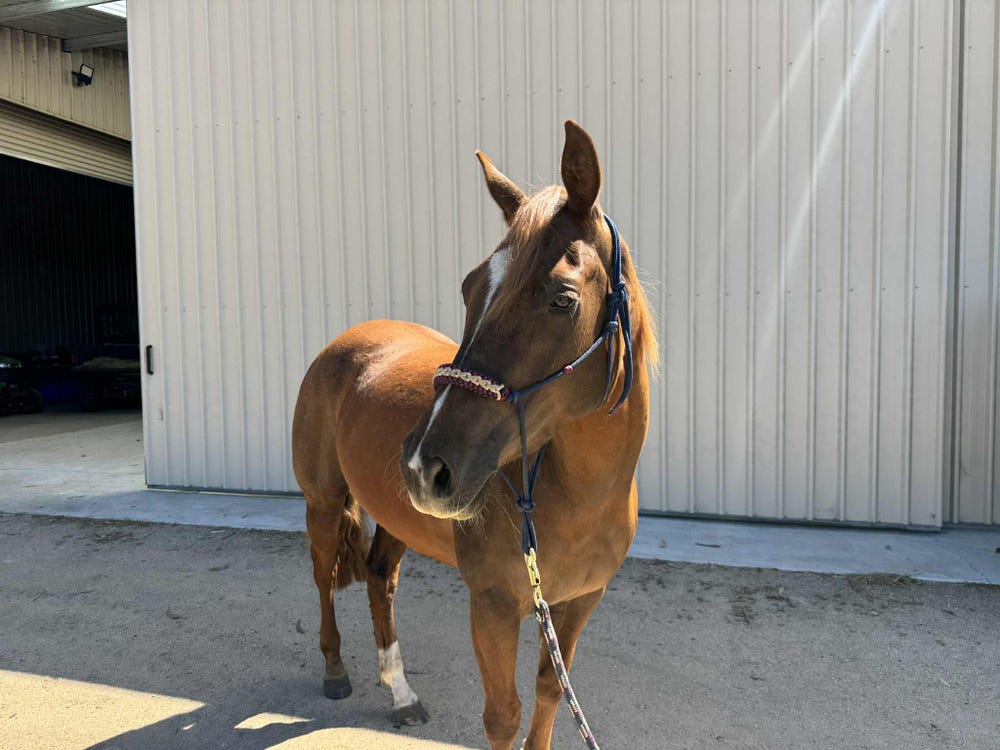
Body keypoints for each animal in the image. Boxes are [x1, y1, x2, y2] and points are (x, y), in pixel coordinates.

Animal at [291, 120, 657, 750]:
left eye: (563, 299)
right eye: (468, 288)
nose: (424, 466)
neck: (580, 498)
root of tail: (348, 341)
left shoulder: (577, 604)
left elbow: (549, 692)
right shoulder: (493, 605)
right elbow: (503, 717)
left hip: (399, 517)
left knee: (380, 579)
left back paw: (401, 694)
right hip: (324, 501)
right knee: (323, 574)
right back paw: (335, 670)